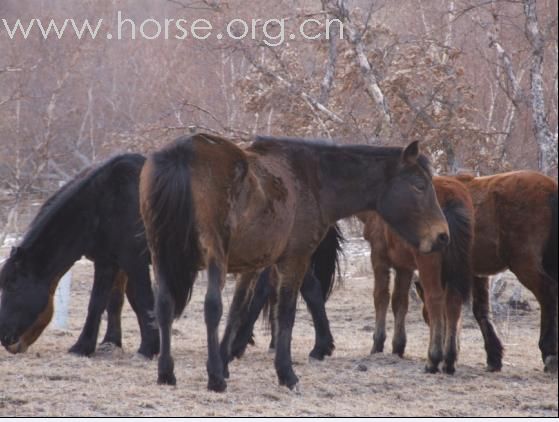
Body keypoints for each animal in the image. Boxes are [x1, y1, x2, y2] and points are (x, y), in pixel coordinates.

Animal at [0, 153, 160, 358]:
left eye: (13, 286)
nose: (5, 338)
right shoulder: (108, 262)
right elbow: (102, 303)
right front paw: (92, 345)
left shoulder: (134, 261)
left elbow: (142, 300)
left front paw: (148, 349)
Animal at [140, 133, 450, 392]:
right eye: (420, 185)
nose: (442, 235)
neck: (313, 179)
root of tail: (184, 152)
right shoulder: (294, 259)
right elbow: (286, 312)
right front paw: (285, 373)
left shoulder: (252, 264)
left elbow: (239, 308)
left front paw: (227, 358)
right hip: (212, 254)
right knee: (211, 307)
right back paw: (214, 378)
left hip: (160, 255)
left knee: (164, 305)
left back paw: (167, 373)